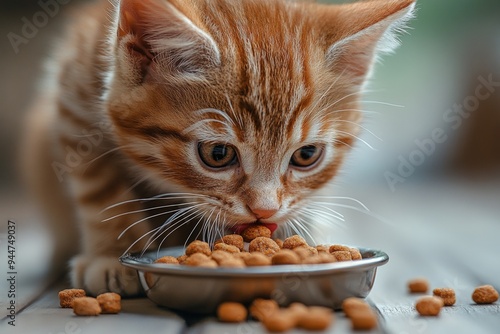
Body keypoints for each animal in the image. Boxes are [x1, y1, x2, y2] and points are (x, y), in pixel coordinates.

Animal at [22, 0, 414, 296]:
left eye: (306, 155)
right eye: (218, 154)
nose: (264, 211)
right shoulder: (72, 99)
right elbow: (99, 186)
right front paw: (112, 253)